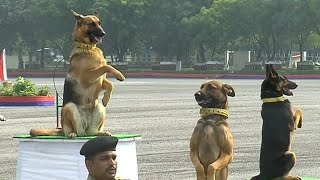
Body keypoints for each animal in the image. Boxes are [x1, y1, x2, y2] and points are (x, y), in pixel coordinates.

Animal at [30, 10, 125, 138]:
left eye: (99, 23)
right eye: (91, 24)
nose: (103, 33)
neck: (88, 48)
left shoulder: (100, 81)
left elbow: (110, 84)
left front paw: (106, 98)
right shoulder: (87, 77)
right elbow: (106, 66)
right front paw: (119, 75)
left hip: (99, 109)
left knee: (91, 132)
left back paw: (102, 132)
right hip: (69, 107)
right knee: (78, 132)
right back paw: (72, 134)